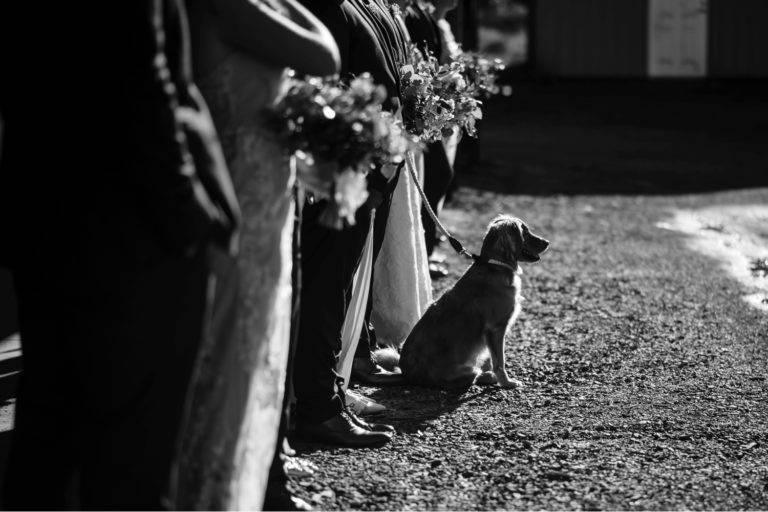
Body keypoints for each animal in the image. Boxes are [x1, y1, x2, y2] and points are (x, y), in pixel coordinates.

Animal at [400, 216, 548, 388]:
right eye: (525, 232)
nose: (547, 242)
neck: (495, 266)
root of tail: (407, 375)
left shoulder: (490, 333)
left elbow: (490, 358)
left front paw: (497, 377)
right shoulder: (496, 328)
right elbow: (499, 361)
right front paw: (506, 382)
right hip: (467, 370)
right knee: (469, 378)